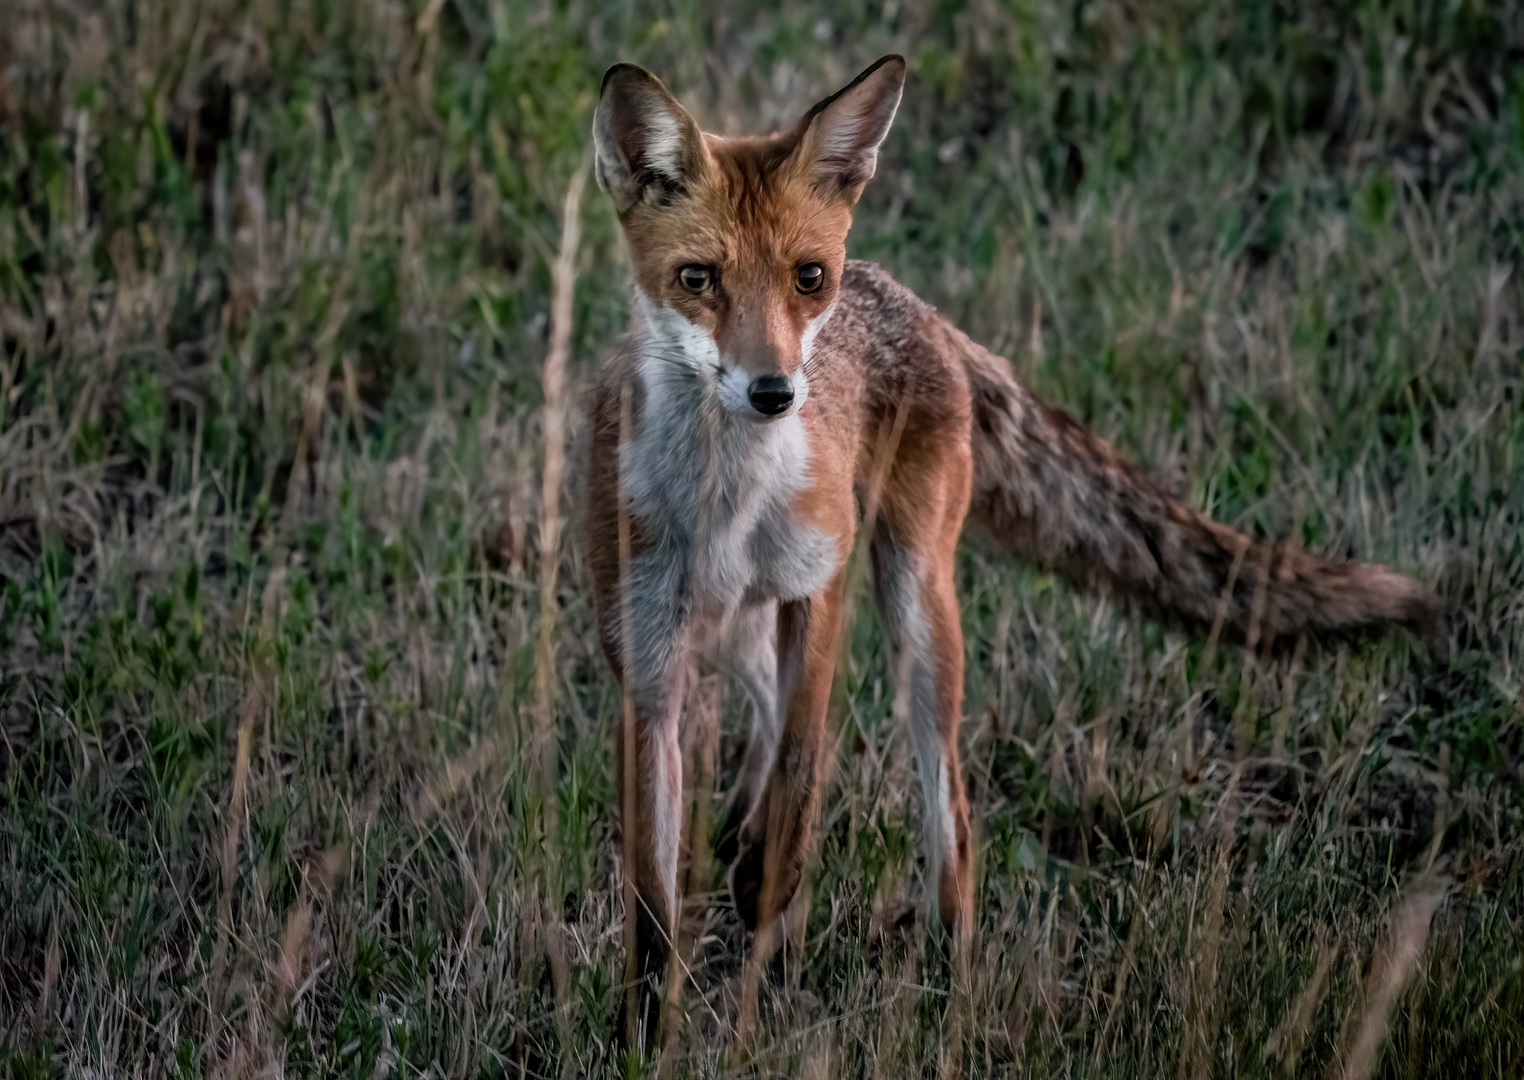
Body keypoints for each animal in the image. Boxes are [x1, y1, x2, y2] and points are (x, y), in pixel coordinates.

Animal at [579, 52, 1426, 1041]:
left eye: (806, 277)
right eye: (699, 278)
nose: (775, 392)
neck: (727, 506)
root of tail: (920, 308)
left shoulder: (819, 599)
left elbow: (798, 801)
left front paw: (758, 985)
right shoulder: (646, 660)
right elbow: (651, 895)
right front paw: (648, 1032)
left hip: (914, 608)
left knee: (949, 811)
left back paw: (954, 978)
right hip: (737, 628)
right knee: (757, 715)